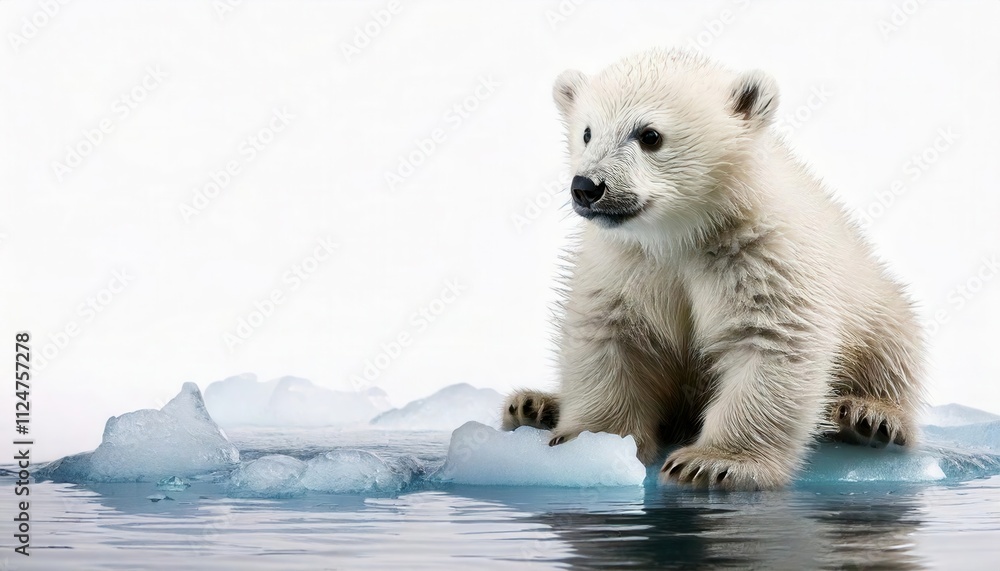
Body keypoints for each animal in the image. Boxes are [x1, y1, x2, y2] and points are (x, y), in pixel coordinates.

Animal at [502, 48, 925, 490]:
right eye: (586, 132)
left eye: (649, 135)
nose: (587, 187)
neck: (684, 234)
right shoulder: (625, 263)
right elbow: (609, 335)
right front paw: (596, 443)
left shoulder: (764, 257)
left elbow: (770, 343)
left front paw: (713, 463)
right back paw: (533, 405)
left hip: (874, 302)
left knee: (891, 348)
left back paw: (869, 418)